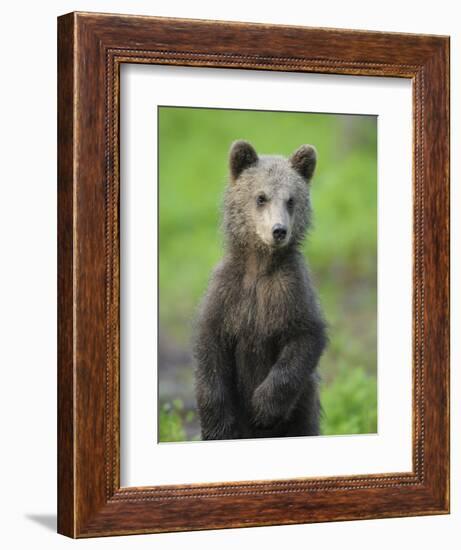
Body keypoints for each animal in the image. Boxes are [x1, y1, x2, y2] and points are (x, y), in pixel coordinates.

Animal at [192, 140, 326, 442]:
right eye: (261, 197)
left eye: (291, 200)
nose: (279, 231)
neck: (260, 265)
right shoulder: (228, 293)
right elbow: (211, 348)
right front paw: (218, 425)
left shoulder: (290, 291)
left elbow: (305, 339)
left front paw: (262, 408)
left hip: (303, 409)